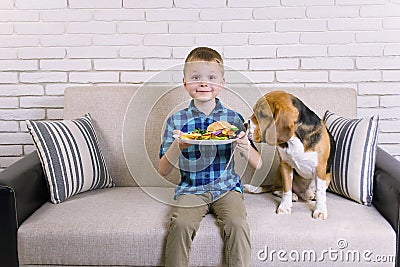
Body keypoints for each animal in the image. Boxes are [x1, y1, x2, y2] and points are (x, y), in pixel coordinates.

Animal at [247, 91, 334, 221]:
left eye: (262, 114)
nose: (244, 124)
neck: (294, 138)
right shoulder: (285, 165)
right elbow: (287, 189)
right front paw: (285, 206)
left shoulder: (320, 168)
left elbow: (320, 192)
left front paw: (320, 210)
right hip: (279, 170)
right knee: (276, 189)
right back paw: (293, 195)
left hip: (328, 176)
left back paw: (310, 195)